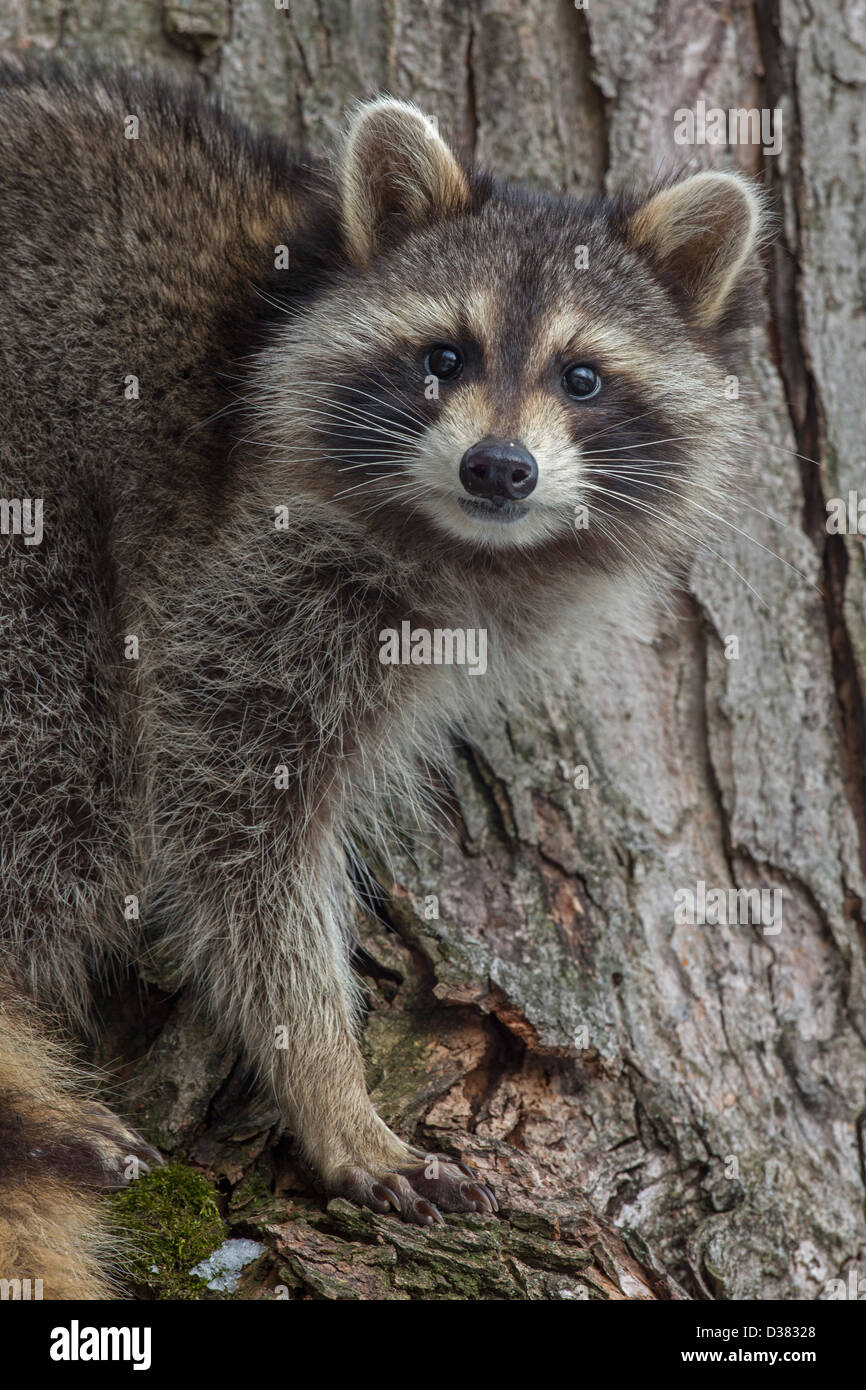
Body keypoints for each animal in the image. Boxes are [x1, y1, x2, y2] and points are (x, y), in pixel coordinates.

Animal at [0, 62, 767, 1301]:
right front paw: (326, 1082)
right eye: (443, 357)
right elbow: (230, 827)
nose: (497, 468)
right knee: (69, 767)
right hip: (33, 526)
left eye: (582, 377)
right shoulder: (241, 565)